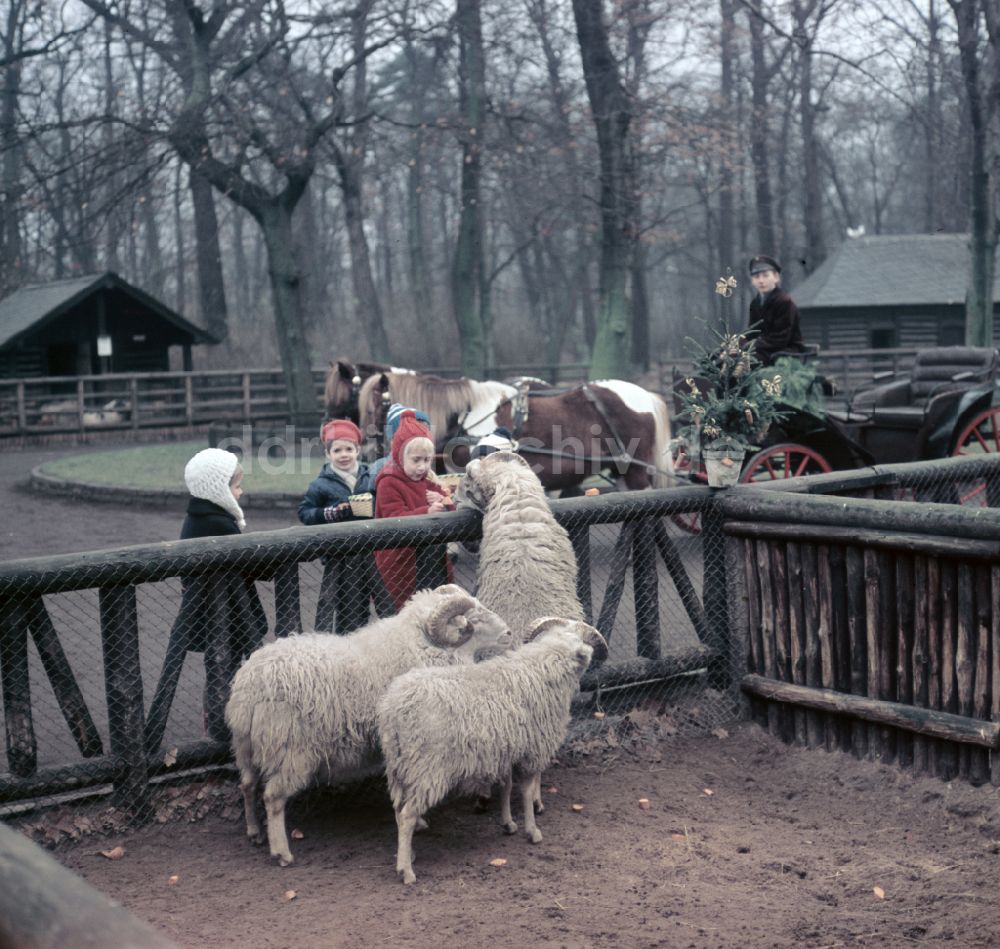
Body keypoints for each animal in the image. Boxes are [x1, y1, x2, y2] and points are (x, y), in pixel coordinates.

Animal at [223, 580, 512, 864]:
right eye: (474, 618)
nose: (509, 634)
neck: (422, 646)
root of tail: (251, 683)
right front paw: (419, 821)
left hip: (244, 745)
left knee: (247, 784)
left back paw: (254, 832)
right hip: (290, 750)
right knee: (272, 797)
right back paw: (282, 852)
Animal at [376, 616, 604, 880]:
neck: (543, 665)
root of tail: (395, 708)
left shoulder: (506, 749)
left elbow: (506, 786)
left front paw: (508, 824)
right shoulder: (533, 750)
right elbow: (527, 792)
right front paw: (532, 831)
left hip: (399, 766)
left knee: (398, 810)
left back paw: (408, 854)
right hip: (426, 768)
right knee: (407, 815)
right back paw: (406, 871)